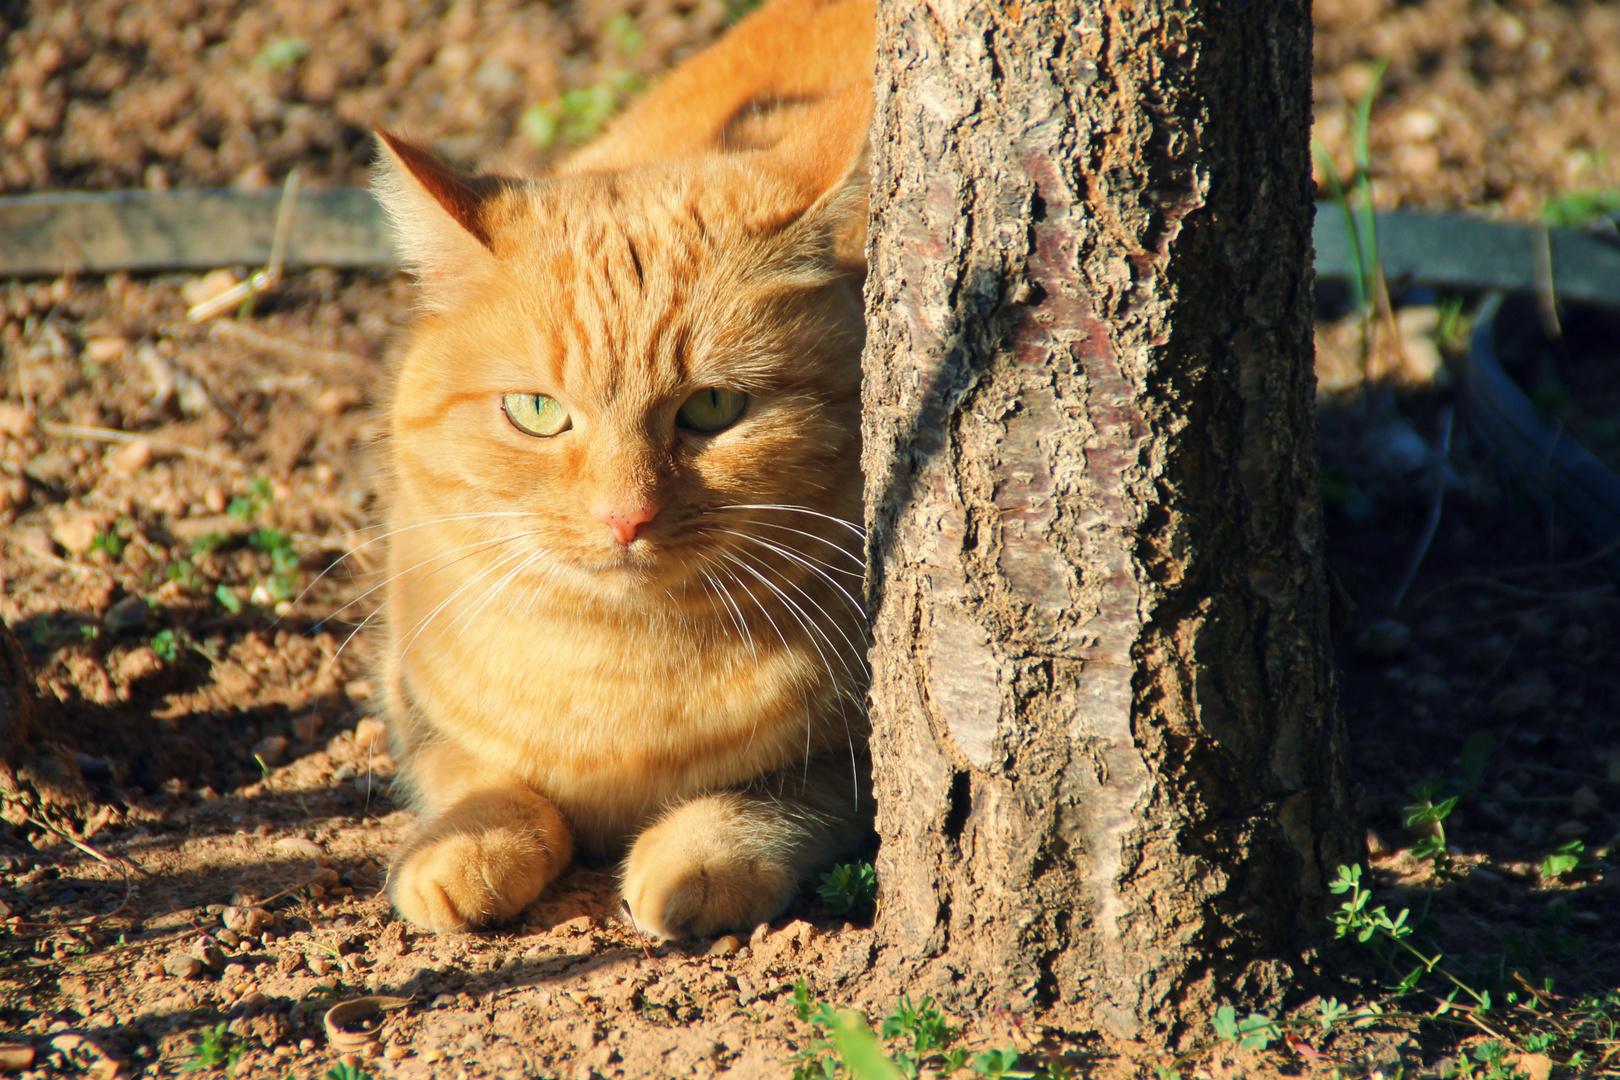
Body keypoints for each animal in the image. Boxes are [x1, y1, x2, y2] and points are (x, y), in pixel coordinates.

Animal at [374, 0, 881, 939]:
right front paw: (464, 849)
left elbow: (777, 795)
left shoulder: (855, 754)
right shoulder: (414, 701)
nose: (625, 516)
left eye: (713, 408)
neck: (615, 677)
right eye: (536, 412)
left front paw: (696, 861)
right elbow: (478, 778)